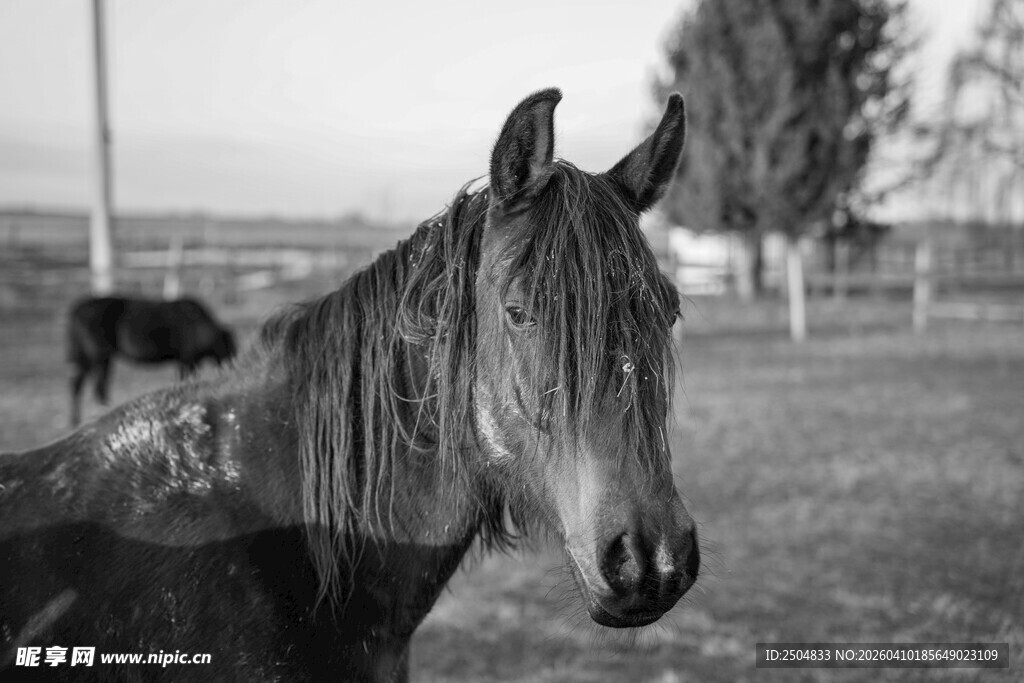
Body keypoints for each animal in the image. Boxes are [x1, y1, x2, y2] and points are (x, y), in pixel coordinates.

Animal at [67, 295, 237, 426]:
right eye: (230, 349)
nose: (233, 368)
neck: (198, 324)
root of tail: (78, 309)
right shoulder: (187, 360)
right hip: (99, 357)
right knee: (98, 387)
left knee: (79, 385)